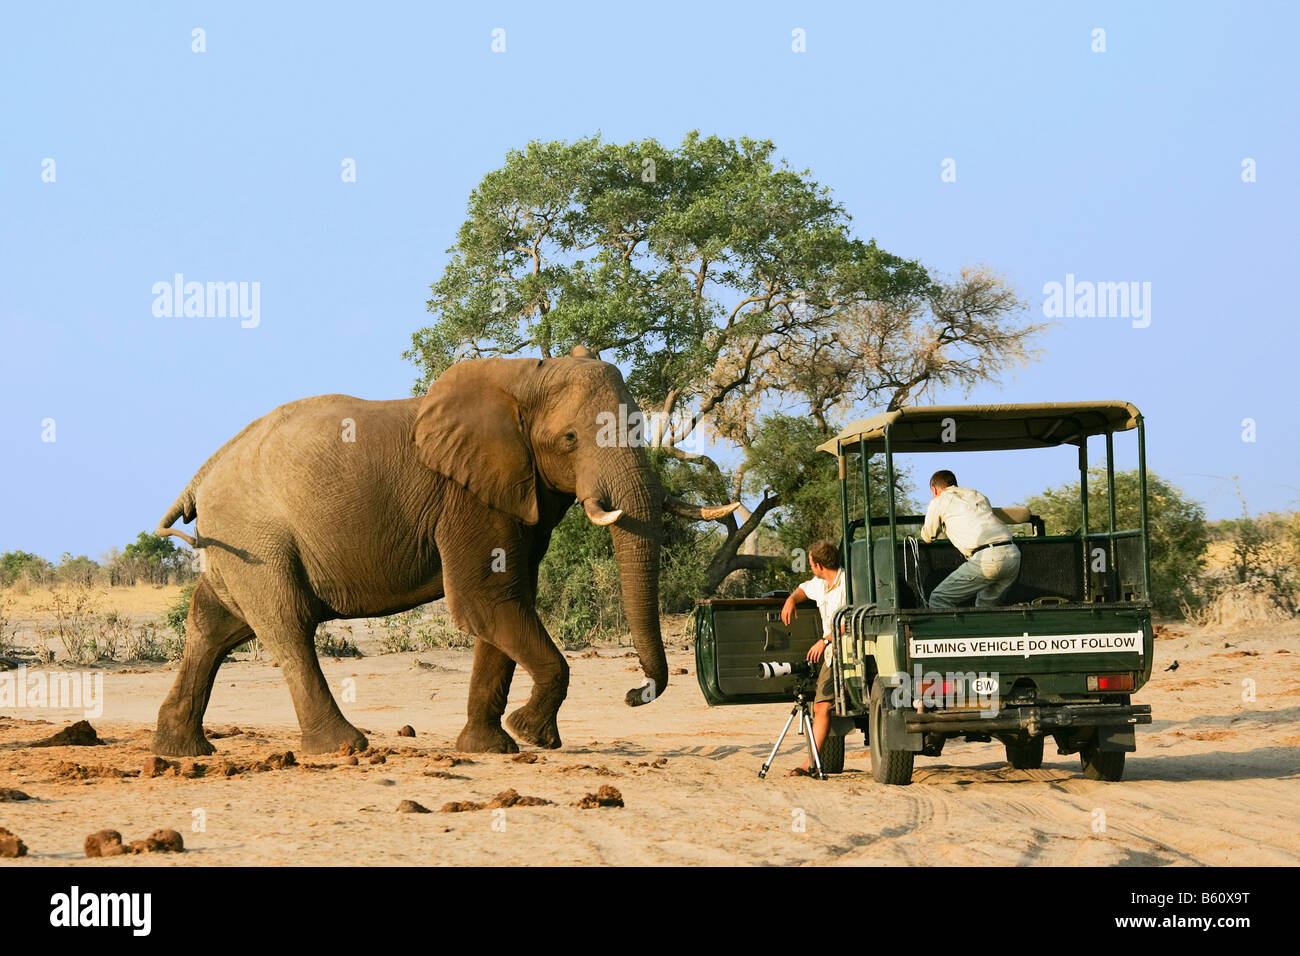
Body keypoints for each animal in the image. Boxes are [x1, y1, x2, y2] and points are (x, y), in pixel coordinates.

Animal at [150, 348, 733, 759]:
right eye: (570, 439)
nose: (636, 693)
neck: (524, 378)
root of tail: (202, 473)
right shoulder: (468, 497)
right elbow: (486, 601)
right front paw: (532, 736)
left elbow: (507, 602)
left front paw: (492, 748)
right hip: (256, 536)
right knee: (288, 623)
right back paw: (344, 747)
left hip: (238, 543)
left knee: (214, 625)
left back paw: (182, 751)